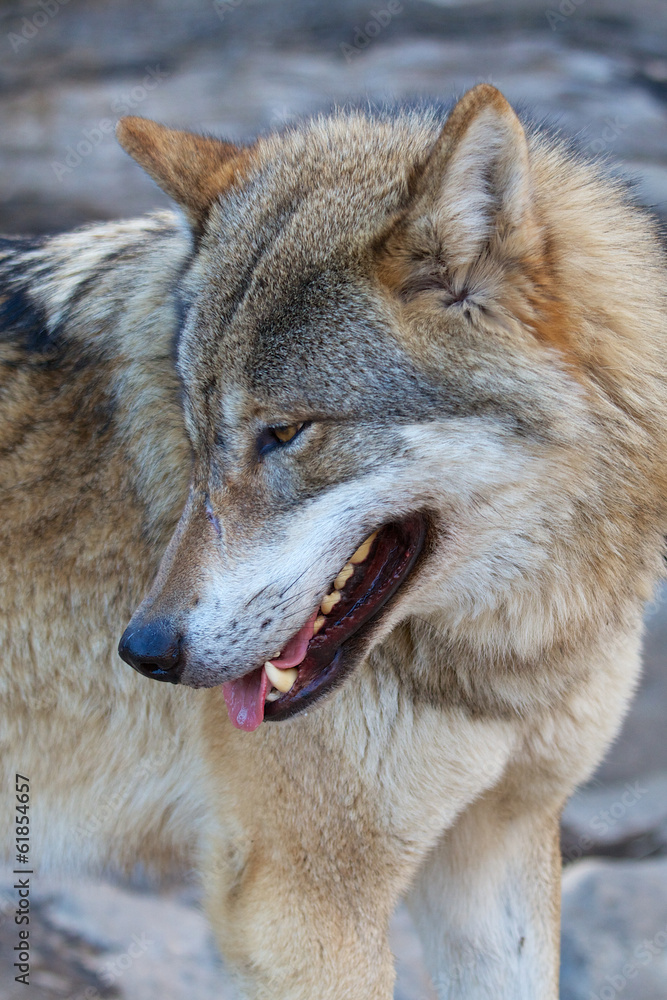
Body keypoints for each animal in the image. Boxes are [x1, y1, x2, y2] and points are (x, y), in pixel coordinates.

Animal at [1, 83, 666, 999]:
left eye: (283, 432)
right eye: (197, 430)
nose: (144, 650)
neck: (503, 658)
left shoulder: (496, 847)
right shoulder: (300, 908)